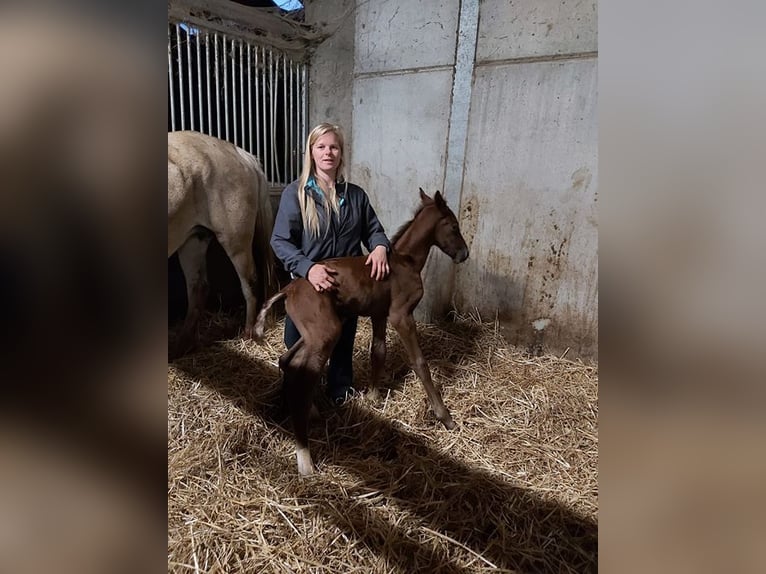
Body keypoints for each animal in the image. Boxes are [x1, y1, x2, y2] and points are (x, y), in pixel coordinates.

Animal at [169, 133, 276, 358]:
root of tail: (242, 154)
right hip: (194, 239)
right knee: (198, 288)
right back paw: (182, 345)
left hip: (235, 241)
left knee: (250, 282)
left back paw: (248, 333)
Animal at [258, 189, 472, 476]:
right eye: (453, 225)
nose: (464, 254)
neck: (406, 262)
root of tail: (289, 290)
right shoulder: (401, 316)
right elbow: (420, 363)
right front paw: (444, 416)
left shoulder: (379, 314)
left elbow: (378, 352)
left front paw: (373, 396)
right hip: (325, 333)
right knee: (302, 373)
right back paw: (305, 457)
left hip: (314, 332)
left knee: (288, 361)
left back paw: (309, 413)